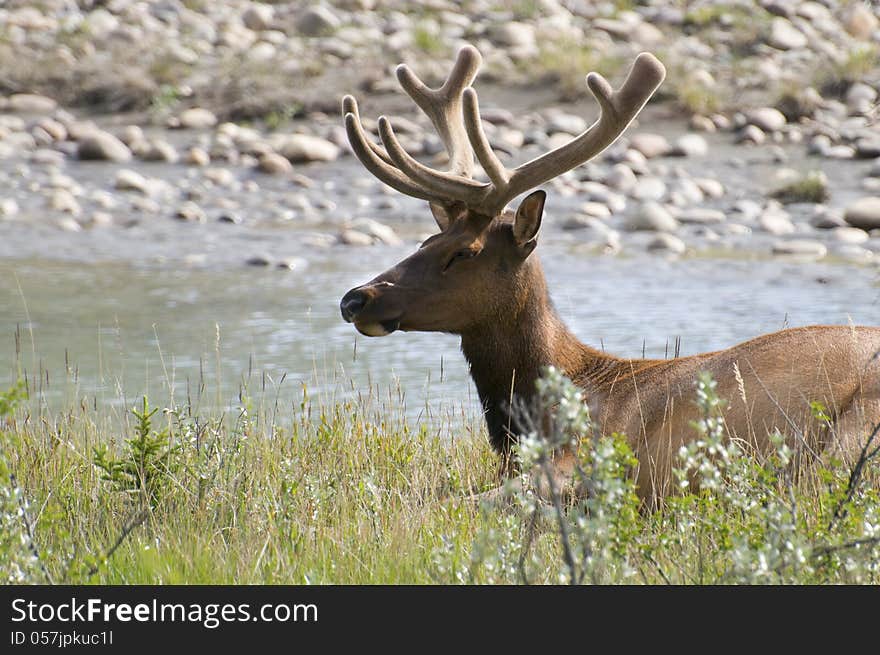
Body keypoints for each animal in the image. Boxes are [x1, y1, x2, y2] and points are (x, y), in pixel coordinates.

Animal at [340, 44, 880, 508]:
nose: (355, 298)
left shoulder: (585, 461)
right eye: (424, 242)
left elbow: (451, 502)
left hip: (841, 443)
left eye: (463, 253)